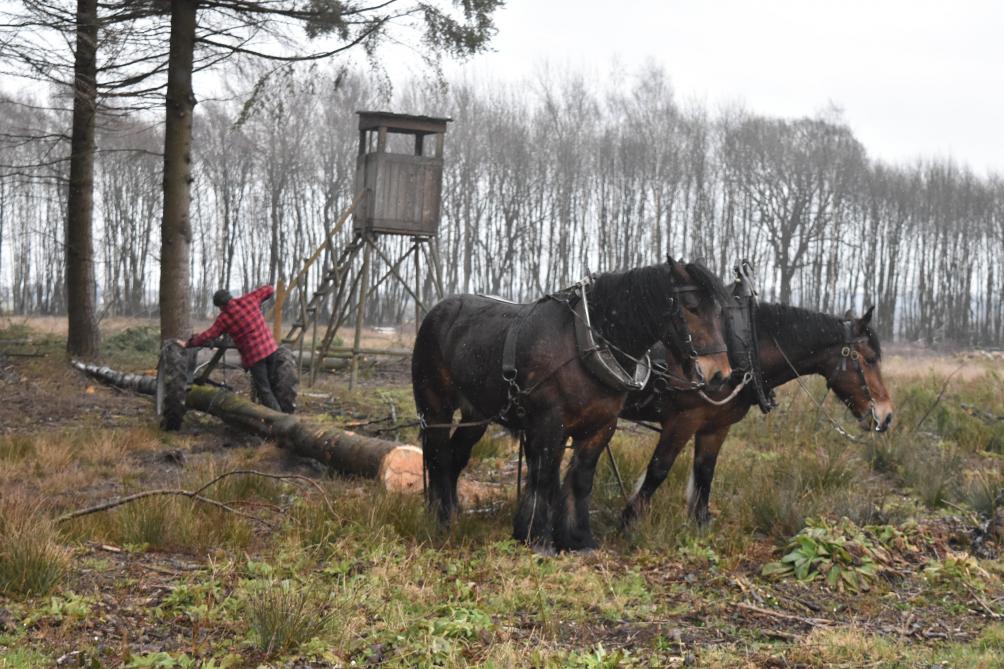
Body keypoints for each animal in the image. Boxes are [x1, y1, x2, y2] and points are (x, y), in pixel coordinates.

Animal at [411, 257, 734, 550]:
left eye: (720, 311)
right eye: (691, 306)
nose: (720, 374)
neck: (584, 344)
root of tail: (437, 311)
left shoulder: (601, 427)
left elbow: (581, 479)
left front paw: (577, 539)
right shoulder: (549, 425)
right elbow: (544, 477)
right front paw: (536, 536)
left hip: (476, 413)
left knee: (456, 455)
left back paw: (454, 513)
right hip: (436, 408)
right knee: (439, 456)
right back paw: (441, 518)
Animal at [618, 301, 895, 526]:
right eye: (870, 359)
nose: (887, 415)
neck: (738, 353)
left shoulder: (716, 426)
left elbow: (705, 472)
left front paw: (701, 523)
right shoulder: (684, 419)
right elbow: (659, 469)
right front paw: (629, 520)